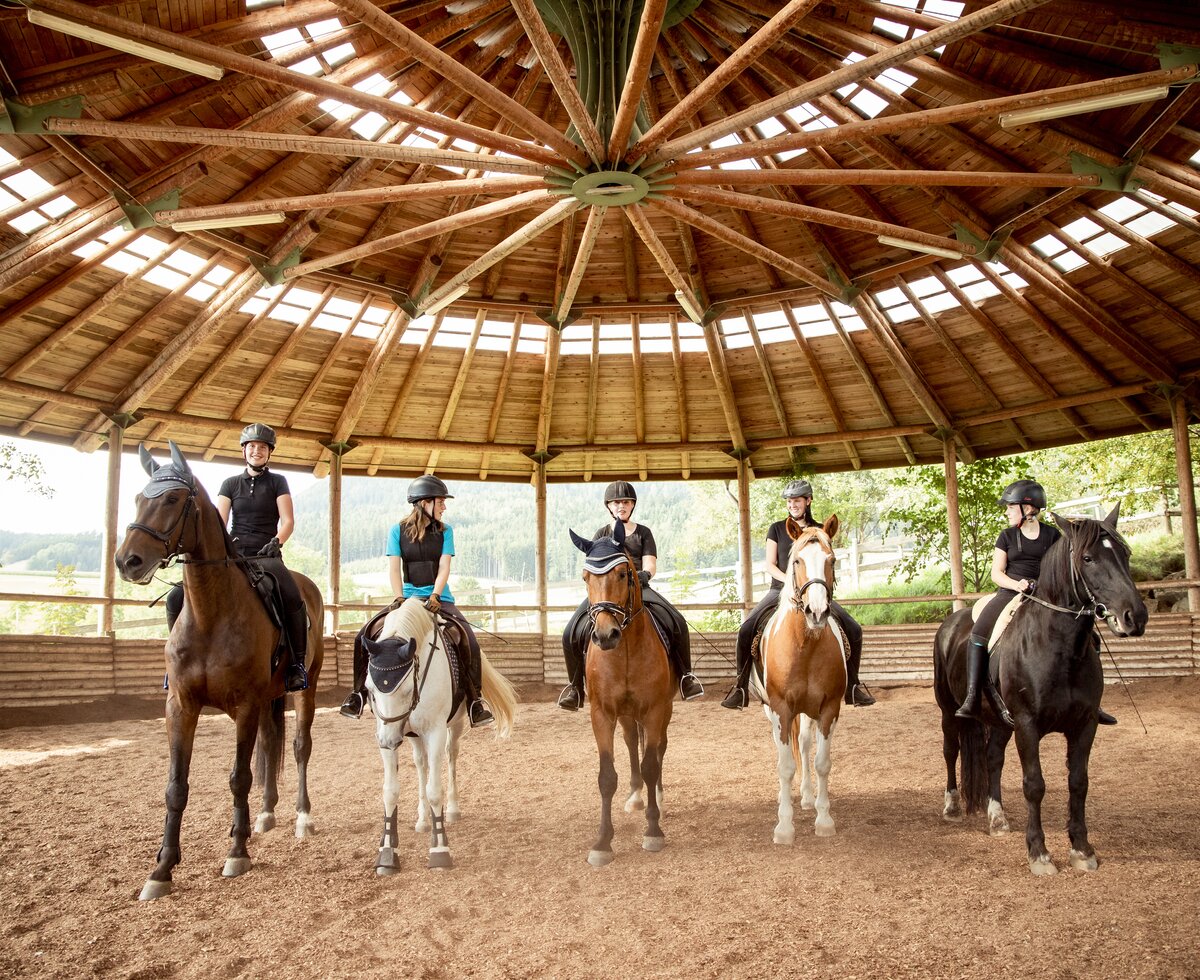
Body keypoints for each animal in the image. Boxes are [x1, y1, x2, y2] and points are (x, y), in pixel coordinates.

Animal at [113, 439, 324, 897]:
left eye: (172, 499)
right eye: (138, 498)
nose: (127, 561)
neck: (211, 614)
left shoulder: (244, 705)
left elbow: (239, 777)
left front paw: (237, 853)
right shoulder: (181, 705)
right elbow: (176, 786)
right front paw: (161, 870)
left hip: (305, 688)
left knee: (299, 747)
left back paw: (301, 818)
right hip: (269, 698)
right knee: (270, 744)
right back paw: (265, 815)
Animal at [364, 597, 516, 873]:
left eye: (406, 688)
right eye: (370, 687)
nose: (389, 741)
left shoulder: (435, 731)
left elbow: (436, 789)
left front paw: (440, 851)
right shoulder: (385, 729)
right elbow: (390, 791)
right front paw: (387, 854)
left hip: (454, 726)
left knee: (451, 756)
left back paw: (452, 811)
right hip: (412, 735)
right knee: (421, 764)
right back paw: (423, 820)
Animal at [571, 520, 676, 863]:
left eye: (623, 574)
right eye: (586, 577)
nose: (606, 635)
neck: (626, 650)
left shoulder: (655, 710)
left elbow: (651, 765)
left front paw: (653, 831)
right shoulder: (602, 713)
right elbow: (607, 777)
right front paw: (602, 843)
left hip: (663, 710)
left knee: (658, 750)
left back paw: (657, 800)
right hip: (628, 715)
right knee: (632, 743)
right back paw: (635, 796)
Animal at [753, 513, 849, 839]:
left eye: (832, 560)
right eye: (797, 561)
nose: (816, 612)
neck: (805, 645)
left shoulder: (830, 708)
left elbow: (822, 763)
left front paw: (825, 820)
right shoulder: (781, 708)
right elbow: (784, 766)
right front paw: (784, 826)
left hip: (808, 711)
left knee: (805, 744)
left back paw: (807, 797)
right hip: (772, 710)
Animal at [931, 503, 1147, 873]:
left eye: (1125, 554)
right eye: (1088, 558)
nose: (1135, 617)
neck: (1059, 647)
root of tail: (950, 623)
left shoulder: (1084, 724)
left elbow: (1078, 782)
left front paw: (1082, 850)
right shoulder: (1028, 725)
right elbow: (1034, 784)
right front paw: (1039, 853)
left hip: (1000, 720)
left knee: (992, 757)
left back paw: (997, 818)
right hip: (950, 711)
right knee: (951, 750)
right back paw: (952, 807)